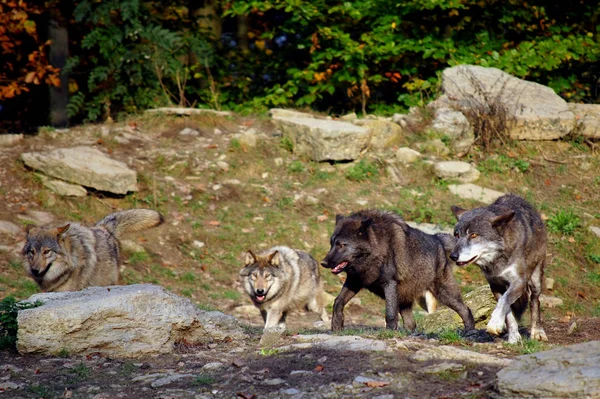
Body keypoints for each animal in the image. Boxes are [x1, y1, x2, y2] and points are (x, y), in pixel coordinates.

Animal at [322, 211, 476, 332]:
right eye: (332, 244)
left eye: (341, 245)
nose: (323, 263)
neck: (375, 252)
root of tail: (437, 239)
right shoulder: (354, 282)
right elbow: (338, 302)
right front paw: (336, 327)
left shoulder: (389, 284)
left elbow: (390, 314)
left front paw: (389, 332)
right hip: (405, 300)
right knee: (411, 324)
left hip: (444, 295)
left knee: (465, 310)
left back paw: (469, 331)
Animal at [450, 195, 548, 344]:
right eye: (456, 235)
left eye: (473, 235)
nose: (453, 256)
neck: (496, 261)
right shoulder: (495, 285)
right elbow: (508, 312)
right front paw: (513, 337)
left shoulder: (519, 282)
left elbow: (504, 301)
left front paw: (494, 323)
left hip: (535, 280)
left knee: (535, 301)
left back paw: (538, 332)